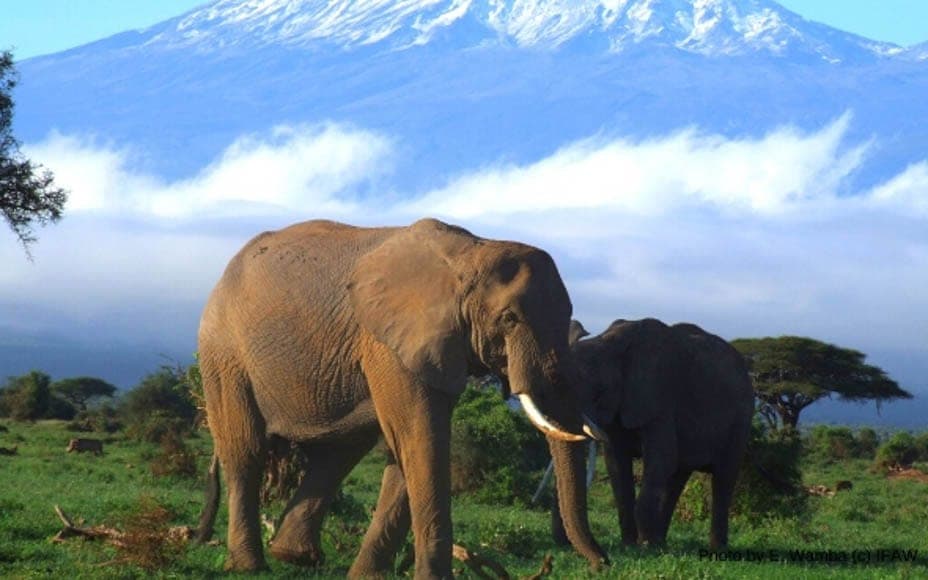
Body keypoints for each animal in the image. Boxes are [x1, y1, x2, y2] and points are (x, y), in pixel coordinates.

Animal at [194, 218, 606, 577]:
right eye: (509, 319)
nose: (601, 562)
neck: (472, 250)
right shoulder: (389, 343)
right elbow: (421, 438)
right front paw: (432, 579)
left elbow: (407, 447)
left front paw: (368, 577)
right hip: (223, 351)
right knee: (245, 450)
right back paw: (249, 566)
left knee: (338, 454)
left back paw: (293, 557)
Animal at [551, 318, 753, 550]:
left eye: (598, 392)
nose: (564, 545)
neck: (607, 343)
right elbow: (616, 464)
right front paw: (630, 545)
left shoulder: (659, 397)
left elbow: (661, 459)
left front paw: (644, 546)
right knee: (678, 477)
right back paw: (661, 543)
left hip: (740, 420)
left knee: (723, 478)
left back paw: (715, 549)